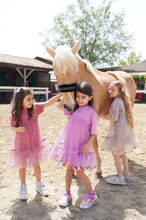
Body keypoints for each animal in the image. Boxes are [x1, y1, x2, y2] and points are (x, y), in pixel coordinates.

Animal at [45, 38, 136, 178]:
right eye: (55, 73)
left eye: (76, 71)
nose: (70, 106)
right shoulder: (72, 116)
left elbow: (94, 143)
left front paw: (98, 169)